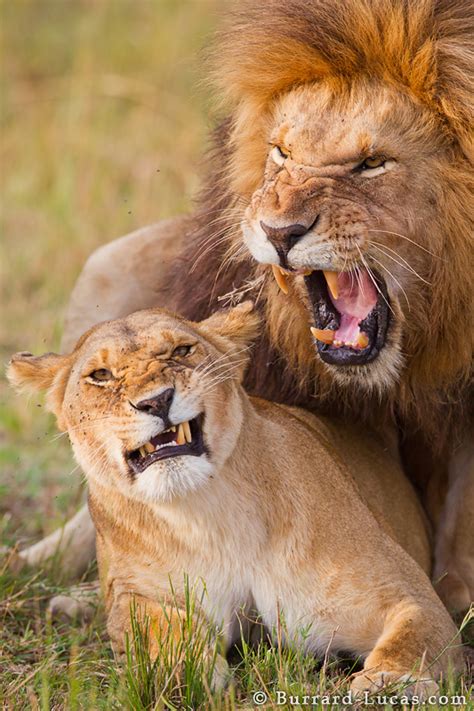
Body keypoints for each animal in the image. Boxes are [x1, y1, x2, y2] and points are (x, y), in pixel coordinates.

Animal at [8, 304, 462, 696]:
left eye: (181, 350)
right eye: (100, 375)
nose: (156, 401)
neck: (210, 516)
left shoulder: (402, 593)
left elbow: (415, 635)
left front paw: (391, 682)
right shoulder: (138, 597)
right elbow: (156, 629)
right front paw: (182, 671)